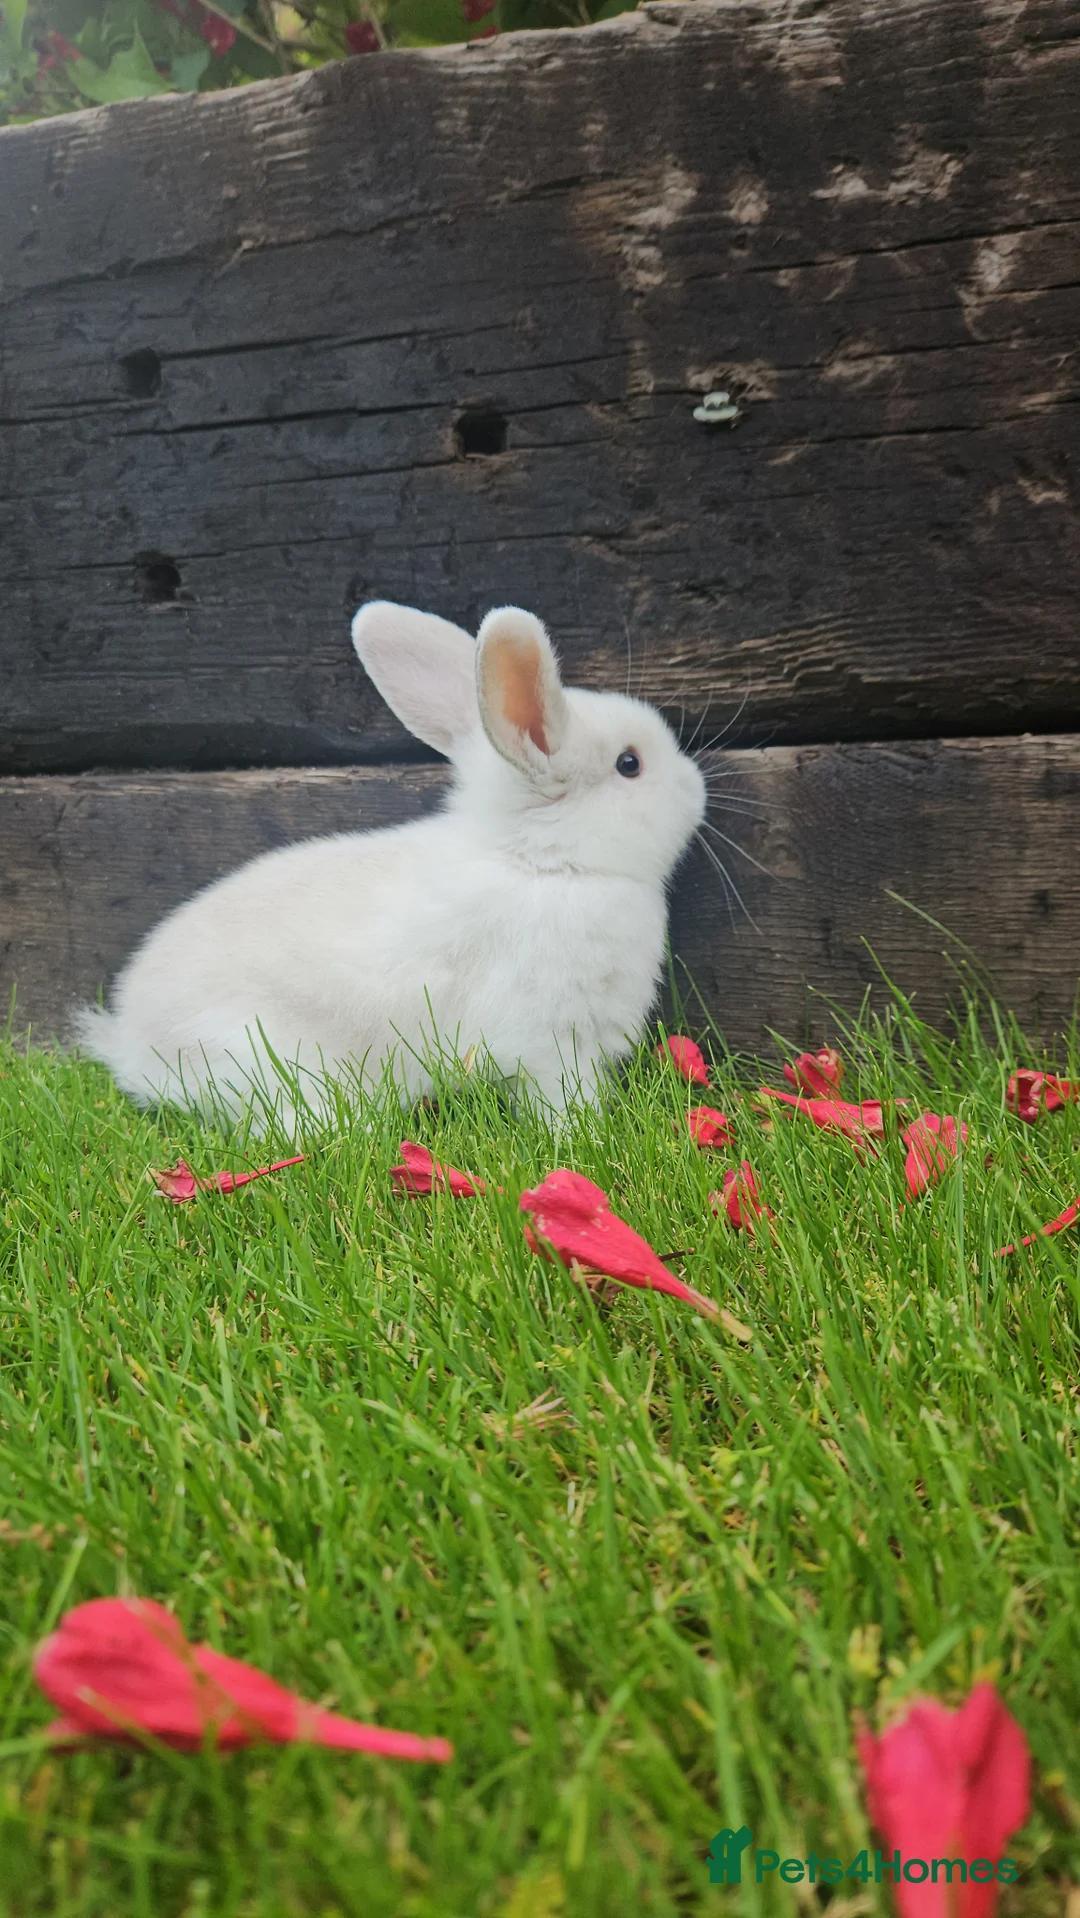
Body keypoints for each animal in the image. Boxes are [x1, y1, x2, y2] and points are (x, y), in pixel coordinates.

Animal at [75, 603, 706, 1133]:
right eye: (630, 764)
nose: (697, 786)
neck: (542, 864)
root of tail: (131, 1042)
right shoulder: (547, 1041)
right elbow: (560, 1098)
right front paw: (583, 1136)